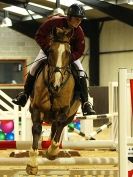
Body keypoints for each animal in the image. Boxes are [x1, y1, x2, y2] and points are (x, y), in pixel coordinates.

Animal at [25, 27, 80, 175]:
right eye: (50, 51)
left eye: (68, 53)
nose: (56, 85)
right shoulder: (37, 108)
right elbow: (37, 129)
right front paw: (32, 164)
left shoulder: (64, 110)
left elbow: (60, 126)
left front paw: (52, 152)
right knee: (54, 127)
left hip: (70, 115)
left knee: (60, 126)